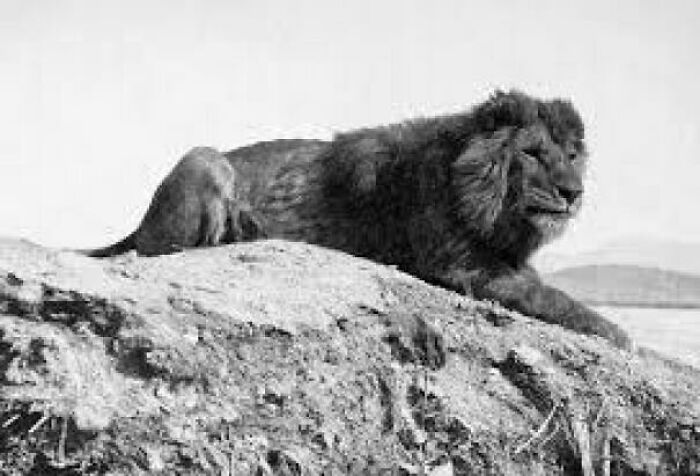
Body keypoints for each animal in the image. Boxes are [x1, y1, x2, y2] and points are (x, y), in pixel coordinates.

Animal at [89, 91, 631, 349]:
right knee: (166, 248)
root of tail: (138, 220)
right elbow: (553, 297)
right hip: (205, 158)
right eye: (534, 153)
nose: (574, 193)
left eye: (572, 154)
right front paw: (619, 334)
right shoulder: (460, 265)